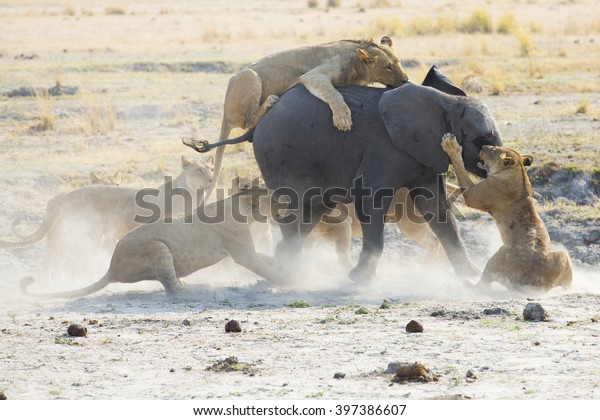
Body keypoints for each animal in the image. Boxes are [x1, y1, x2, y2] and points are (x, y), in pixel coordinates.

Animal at [440, 133, 572, 290]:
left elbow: (459, 166)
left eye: (493, 150)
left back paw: (468, 283)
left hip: (503, 251)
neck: (518, 171)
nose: (483, 146)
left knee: (482, 285)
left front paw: (451, 145)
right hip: (563, 256)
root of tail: (528, 283)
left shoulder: (474, 194)